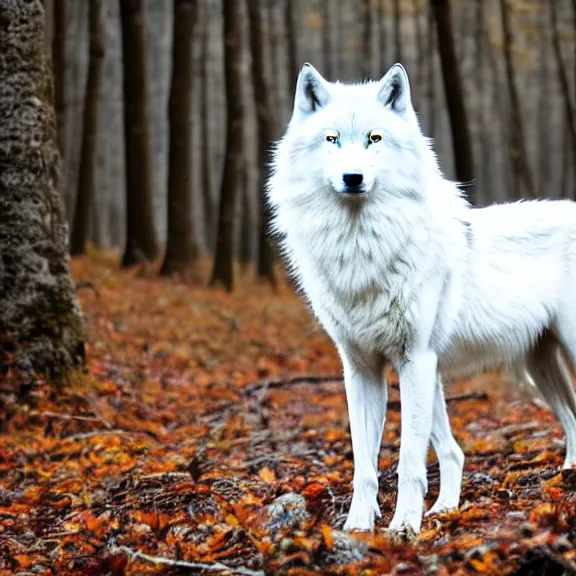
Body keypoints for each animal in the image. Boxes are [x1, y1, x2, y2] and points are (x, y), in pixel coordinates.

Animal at [266, 63, 576, 536]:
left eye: (374, 138)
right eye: (332, 138)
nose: (352, 178)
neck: (362, 250)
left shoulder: (415, 358)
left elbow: (409, 460)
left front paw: (404, 527)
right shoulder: (362, 369)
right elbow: (365, 464)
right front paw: (358, 527)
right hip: (533, 367)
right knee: (486, 444)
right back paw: (452, 506)